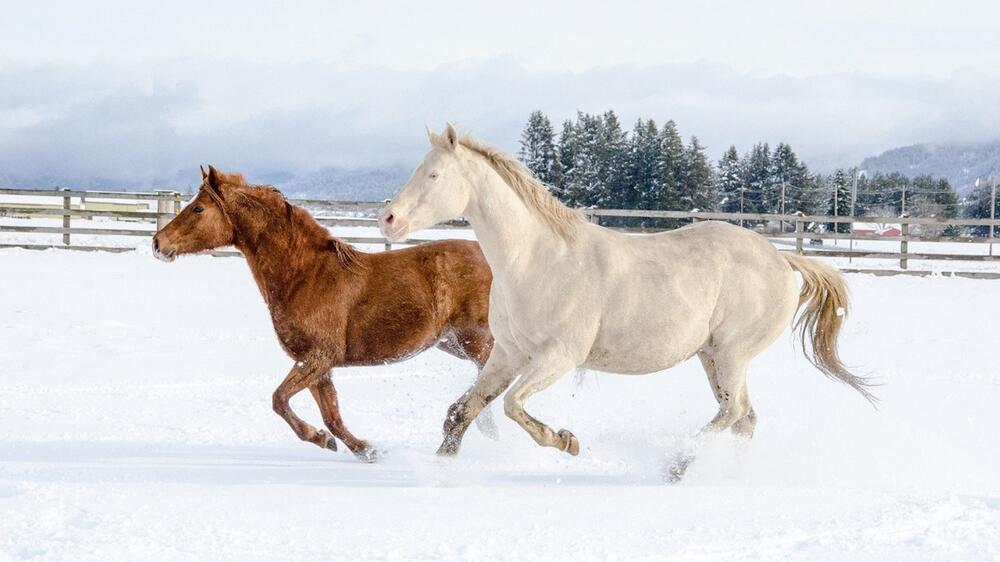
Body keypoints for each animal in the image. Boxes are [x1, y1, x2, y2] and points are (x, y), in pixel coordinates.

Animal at [154, 165, 494, 460]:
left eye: (199, 209)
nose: (158, 243)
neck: (304, 275)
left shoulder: (319, 356)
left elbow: (279, 400)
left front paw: (324, 439)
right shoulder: (318, 365)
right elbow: (332, 417)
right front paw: (363, 449)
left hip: (475, 340)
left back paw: (454, 433)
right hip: (452, 343)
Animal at [382, 121, 876, 456]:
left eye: (434, 175)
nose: (388, 219)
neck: (536, 260)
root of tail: (780, 258)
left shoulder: (559, 356)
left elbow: (512, 406)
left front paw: (566, 440)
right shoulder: (508, 353)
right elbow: (465, 410)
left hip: (732, 353)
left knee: (734, 413)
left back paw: (678, 463)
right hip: (712, 356)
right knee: (743, 418)